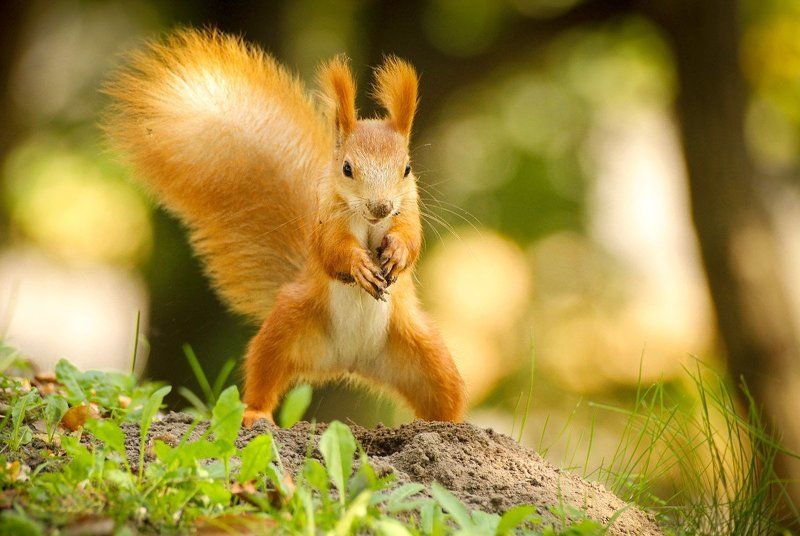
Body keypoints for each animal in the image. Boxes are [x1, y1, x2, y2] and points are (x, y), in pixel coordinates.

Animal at [103, 29, 466, 426]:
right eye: (347, 168)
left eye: (407, 169)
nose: (380, 206)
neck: (368, 223)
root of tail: (348, 360)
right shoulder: (326, 224)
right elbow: (332, 251)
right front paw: (358, 265)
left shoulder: (409, 212)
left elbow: (412, 239)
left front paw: (397, 253)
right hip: (286, 328)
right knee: (264, 371)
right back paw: (256, 413)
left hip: (424, 351)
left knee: (444, 390)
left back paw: (452, 428)